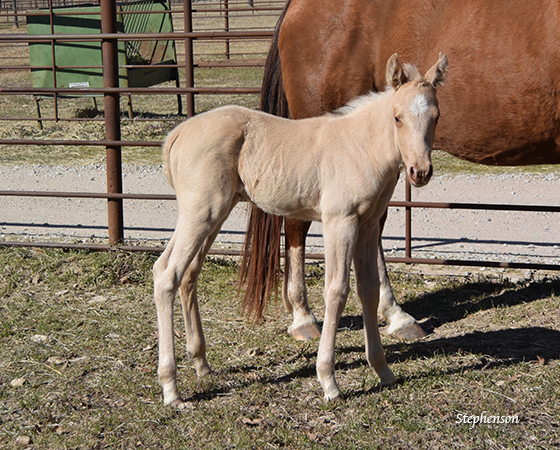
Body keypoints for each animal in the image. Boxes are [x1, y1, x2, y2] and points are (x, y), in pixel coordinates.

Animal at [151, 53, 448, 408]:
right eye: (397, 117)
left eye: (436, 116)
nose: (420, 172)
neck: (362, 146)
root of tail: (176, 135)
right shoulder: (339, 221)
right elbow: (336, 291)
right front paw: (329, 381)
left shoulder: (366, 224)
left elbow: (369, 290)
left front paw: (383, 370)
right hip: (201, 211)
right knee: (166, 273)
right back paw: (170, 389)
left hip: (213, 213)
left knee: (189, 272)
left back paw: (201, 363)